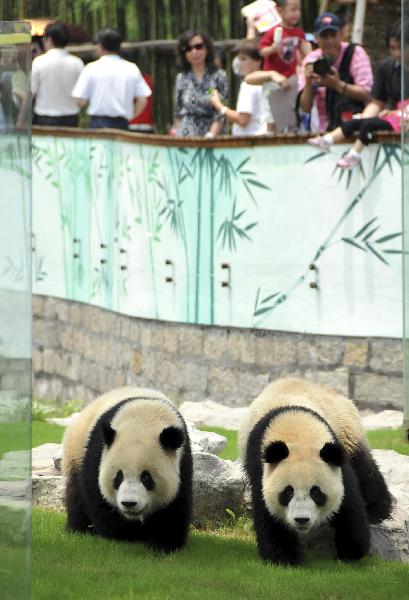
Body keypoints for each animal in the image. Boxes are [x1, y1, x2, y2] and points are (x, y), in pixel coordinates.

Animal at [62, 390, 193, 552]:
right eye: (118, 477)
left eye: (146, 478)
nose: (129, 503)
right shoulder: (97, 455)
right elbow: (99, 500)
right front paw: (125, 535)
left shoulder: (183, 461)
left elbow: (174, 505)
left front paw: (162, 543)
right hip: (76, 452)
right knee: (76, 495)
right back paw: (79, 529)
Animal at [239, 378, 392, 564]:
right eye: (287, 492)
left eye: (316, 492)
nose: (302, 519)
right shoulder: (260, 464)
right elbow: (268, 512)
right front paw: (284, 558)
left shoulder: (334, 455)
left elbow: (348, 501)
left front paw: (351, 549)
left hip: (346, 428)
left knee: (364, 467)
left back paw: (377, 509)